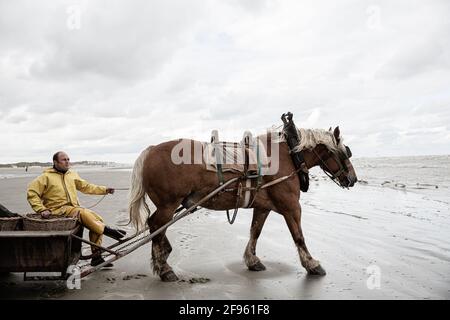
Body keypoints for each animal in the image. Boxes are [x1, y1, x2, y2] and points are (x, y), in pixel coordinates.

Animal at [128, 126, 356, 282]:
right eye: (344, 153)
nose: (353, 179)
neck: (289, 155)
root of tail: (149, 151)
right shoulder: (291, 206)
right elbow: (298, 236)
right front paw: (311, 264)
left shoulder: (263, 207)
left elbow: (255, 231)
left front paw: (252, 260)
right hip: (168, 204)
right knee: (156, 226)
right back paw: (164, 268)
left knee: (156, 227)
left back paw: (163, 258)